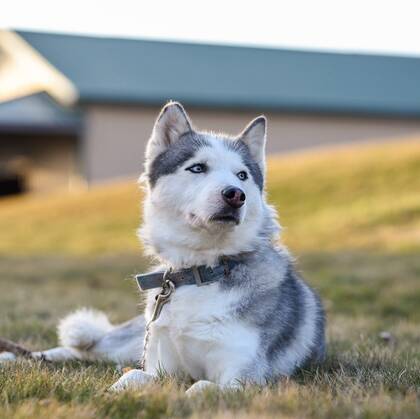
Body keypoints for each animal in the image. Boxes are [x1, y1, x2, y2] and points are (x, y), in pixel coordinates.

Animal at [0, 103, 326, 396]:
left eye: (242, 175)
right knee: (82, 349)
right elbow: (130, 378)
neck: (200, 272)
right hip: (129, 343)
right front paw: (113, 391)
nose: (235, 195)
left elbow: (199, 388)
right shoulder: (158, 366)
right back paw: (14, 358)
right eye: (198, 168)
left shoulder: (244, 380)